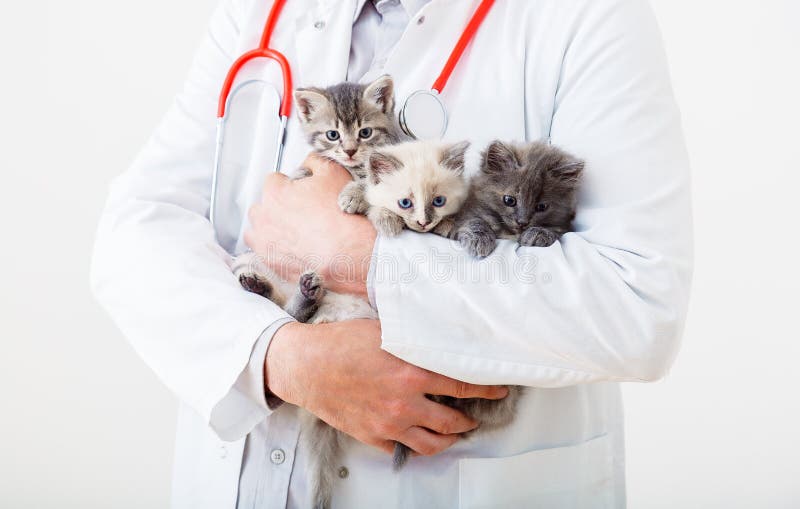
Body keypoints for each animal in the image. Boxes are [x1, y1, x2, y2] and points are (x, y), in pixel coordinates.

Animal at [446, 140, 584, 256]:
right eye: (509, 200)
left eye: (541, 207)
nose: (522, 222)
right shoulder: (467, 213)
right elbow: (474, 221)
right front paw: (479, 241)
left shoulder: (564, 225)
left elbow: (555, 229)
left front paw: (538, 234)